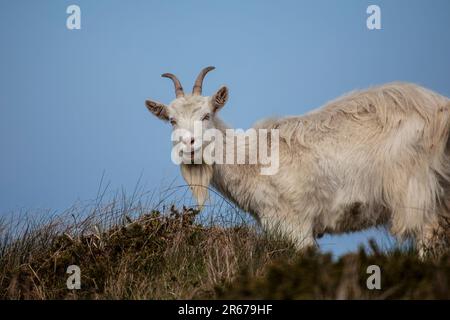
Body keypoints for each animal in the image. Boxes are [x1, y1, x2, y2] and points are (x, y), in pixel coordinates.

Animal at [147, 66, 450, 258]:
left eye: (207, 115)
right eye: (171, 120)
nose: (189, 146)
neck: (252, 159)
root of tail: (441, 108)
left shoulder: (296, 224)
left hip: (417, 186)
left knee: (427, 233)